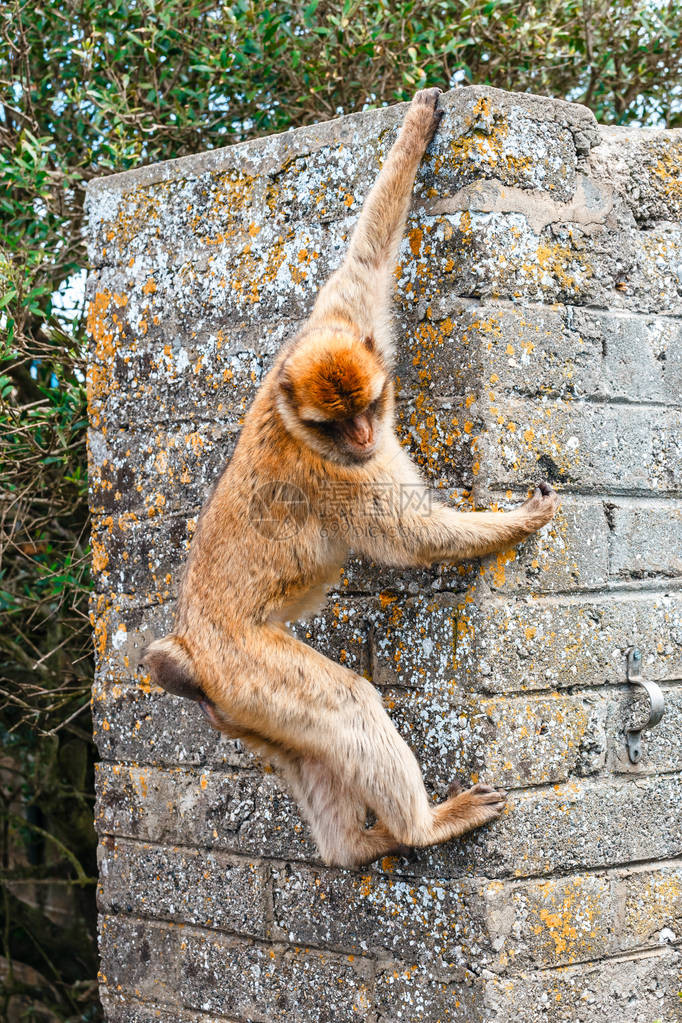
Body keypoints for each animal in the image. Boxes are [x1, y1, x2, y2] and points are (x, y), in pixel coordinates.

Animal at [140, 92, 560, 867]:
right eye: (337, 426)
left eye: (365, 408)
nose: (364, 437)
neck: (296, 426)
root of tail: (193, 651)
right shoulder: (338, 479)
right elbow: (412, 537)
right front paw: (519, 521)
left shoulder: (337, 323)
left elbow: (365, 257)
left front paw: (418, 126)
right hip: (257, 674)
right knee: (349, 705)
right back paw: (423, 825)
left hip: (244, 711)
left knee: (307, 756)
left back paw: (359, 847)